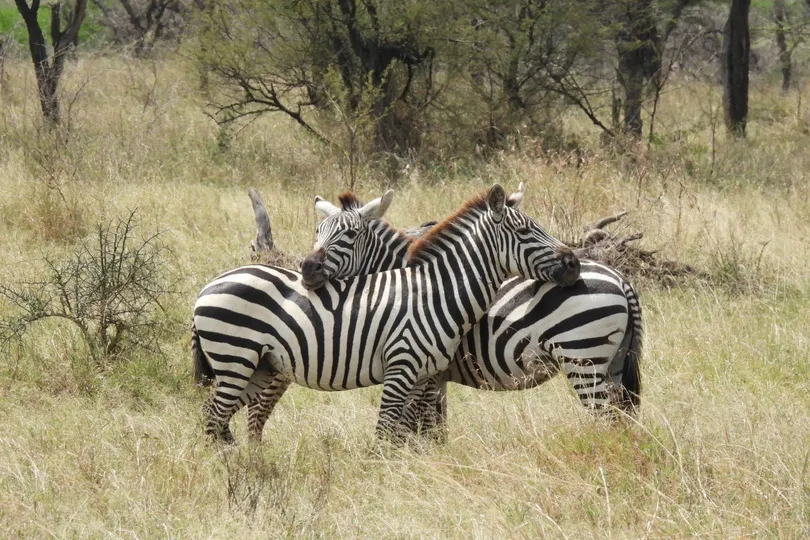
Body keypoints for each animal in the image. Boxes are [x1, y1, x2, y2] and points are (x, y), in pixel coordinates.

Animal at [192, 185, 580, 443]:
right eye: (526, 230)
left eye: (350, 234)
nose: (574, 264)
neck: (436, 292)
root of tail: (207, 286)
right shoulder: (405, 369)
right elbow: (392, 434)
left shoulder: (427, 376)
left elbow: (415, 433)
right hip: (241, 360)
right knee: (222, 417)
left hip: (259, 366)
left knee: (224, 417)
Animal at [296, 184, 642, 438]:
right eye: (317, 232)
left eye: (350, 235)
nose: (308, 269)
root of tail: (621, 279)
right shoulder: (435, 375)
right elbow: (434, 427)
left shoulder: (428, 372)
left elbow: (419, 426)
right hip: (613, 362)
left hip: (582, 356)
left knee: (605, 419)